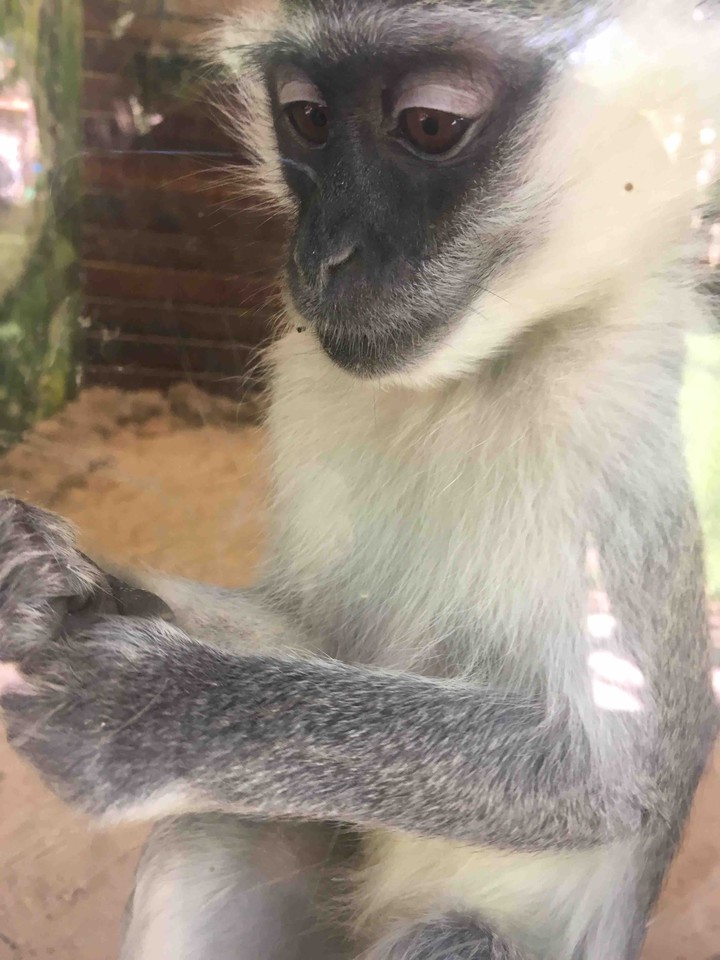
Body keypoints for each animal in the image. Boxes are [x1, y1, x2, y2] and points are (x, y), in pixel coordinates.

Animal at [1, 0, 719, 958]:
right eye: (307, 118)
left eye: (430, 125)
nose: (321, 258)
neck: (469, 375)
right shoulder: (308, 375)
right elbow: (310, 629)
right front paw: (52, 580)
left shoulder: (637, 410)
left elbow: (603, 780)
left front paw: (151, 713)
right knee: (218, 833)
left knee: (445, 937)